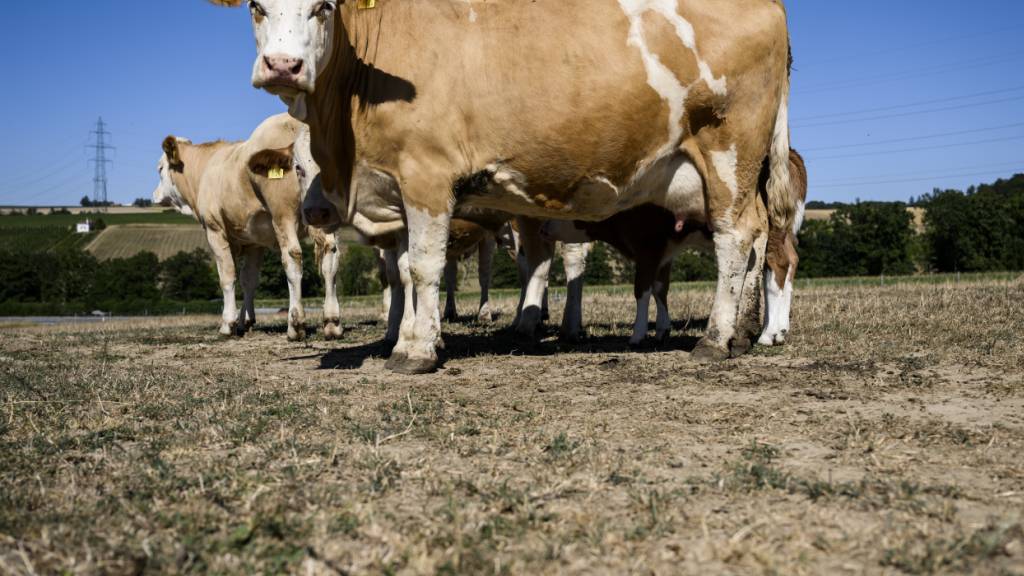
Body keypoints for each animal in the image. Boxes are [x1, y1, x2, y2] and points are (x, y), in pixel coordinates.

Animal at [152, 113, 343, 341]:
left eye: (160, 168)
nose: (154, 195)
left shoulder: (215, 230)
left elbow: (227, 276)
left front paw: (228, 323)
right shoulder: (254, 242)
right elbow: (249, 280)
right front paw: (247, 320)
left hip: (283, 215)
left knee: (293, 257)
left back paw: (295, 325)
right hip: (325, 216)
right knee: (331, 257)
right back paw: (332, 322)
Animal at [213, 0, 794, 374]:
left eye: (323, 6)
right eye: (256, 6)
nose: (283, 66)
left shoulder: (426, 175)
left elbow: (423, 267)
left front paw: (417, 352)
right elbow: (406, 271)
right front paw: (409, 341)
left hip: (728, 153)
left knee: (736, 239)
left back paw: (717, 340)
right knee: (759, 242)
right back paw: (745, 334)